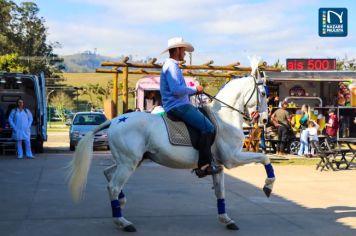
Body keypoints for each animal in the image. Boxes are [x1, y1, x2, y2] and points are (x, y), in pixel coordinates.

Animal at [69, 67, 276, 232]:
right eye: (263, 93)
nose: (265, 120)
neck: (223, 118)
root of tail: (114, 121)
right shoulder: (232, 159)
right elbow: (264, 158)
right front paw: (268, 186)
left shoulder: (218, 165)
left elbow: (220, 192)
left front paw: (226, 219)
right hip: (128, 163)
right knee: (113, 185)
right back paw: (123, 222)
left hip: (131, 161)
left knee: (108, 174)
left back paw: (121, 202)